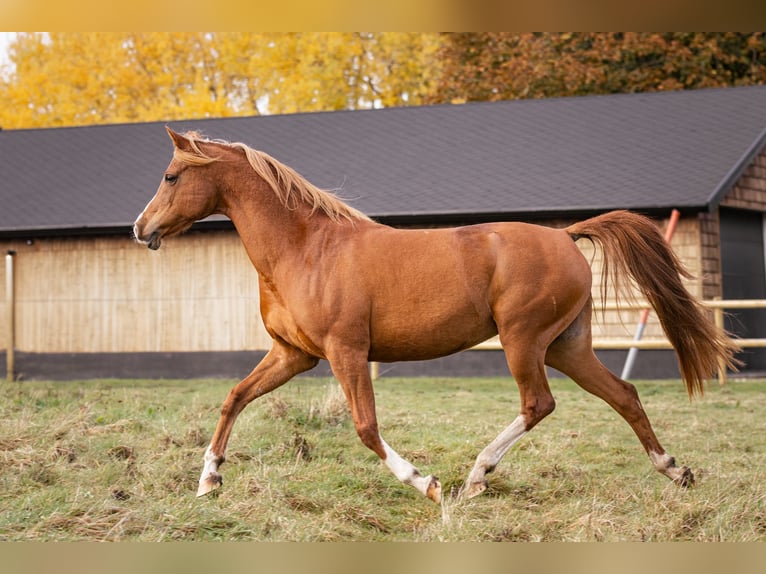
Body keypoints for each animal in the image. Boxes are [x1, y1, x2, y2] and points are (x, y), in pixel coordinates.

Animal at [134, 127, 738, 504]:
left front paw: (424, 483)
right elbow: (235, 397)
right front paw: (208, 480)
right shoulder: (294, 355)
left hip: (524, 341)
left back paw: (476, 476)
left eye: (170, 176)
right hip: (567, 345)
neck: (304, 247)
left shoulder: (345, 351)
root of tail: (566, 236)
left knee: (539, 403)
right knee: (624, 395)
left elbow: (366, 427)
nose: (141, 229)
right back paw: (675, 470)